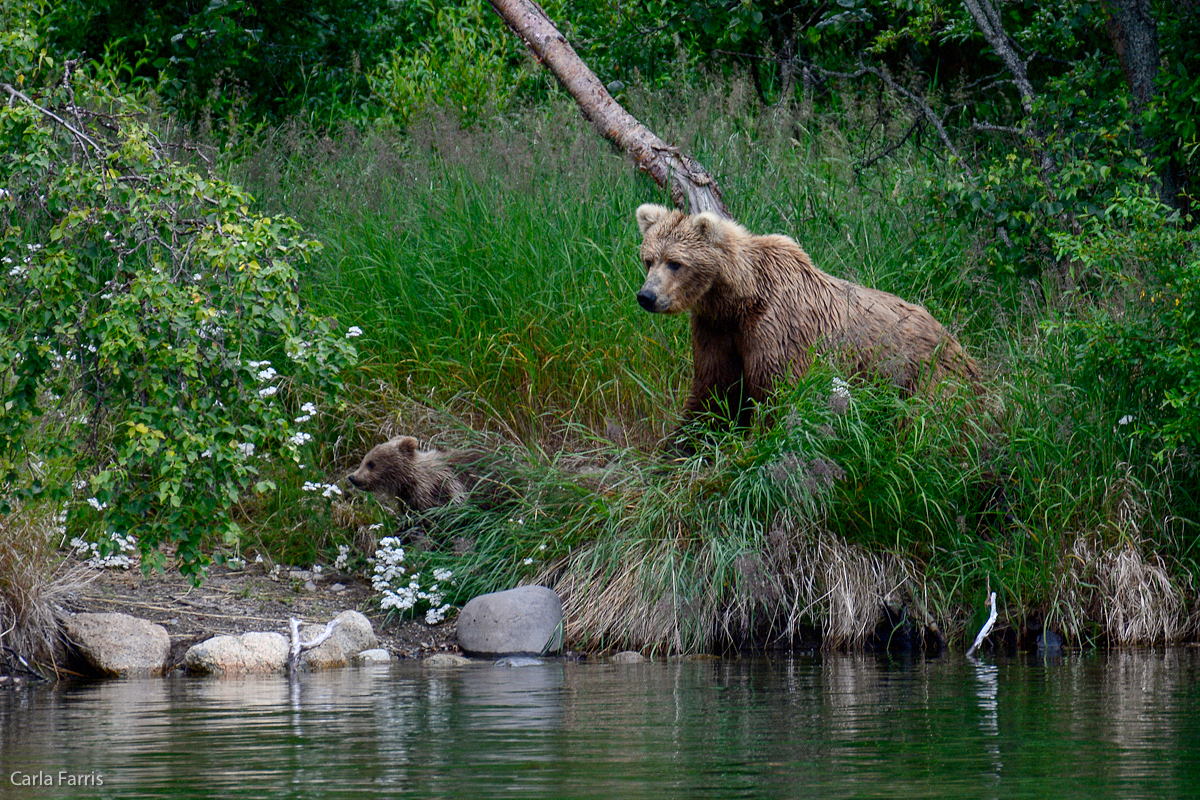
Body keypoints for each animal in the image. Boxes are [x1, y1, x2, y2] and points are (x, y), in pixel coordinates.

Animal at [633, 203, 979, 434]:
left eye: (676, 263)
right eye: (648, 259)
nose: (646, 296)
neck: (739, 299)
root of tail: (956, 341)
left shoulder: (778, 329)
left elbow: (778, 393)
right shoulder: (717, 331)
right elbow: (712, 393)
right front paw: (681, 447)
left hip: (925, 374)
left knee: (929, 421)